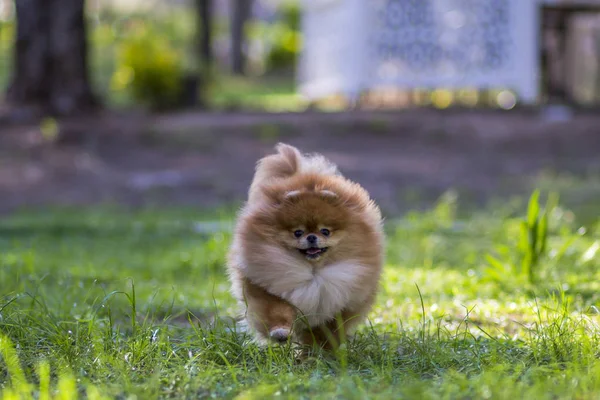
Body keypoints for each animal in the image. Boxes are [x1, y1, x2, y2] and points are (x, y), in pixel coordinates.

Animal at [225, 144, 384, 350]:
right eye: (298, 232)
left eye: (325, 231)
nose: (311, 237)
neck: (313, 273)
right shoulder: (265, 289)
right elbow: (276, 311)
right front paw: (281, 332)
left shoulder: (340, 304)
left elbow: (323, 332)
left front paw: (316, 351)